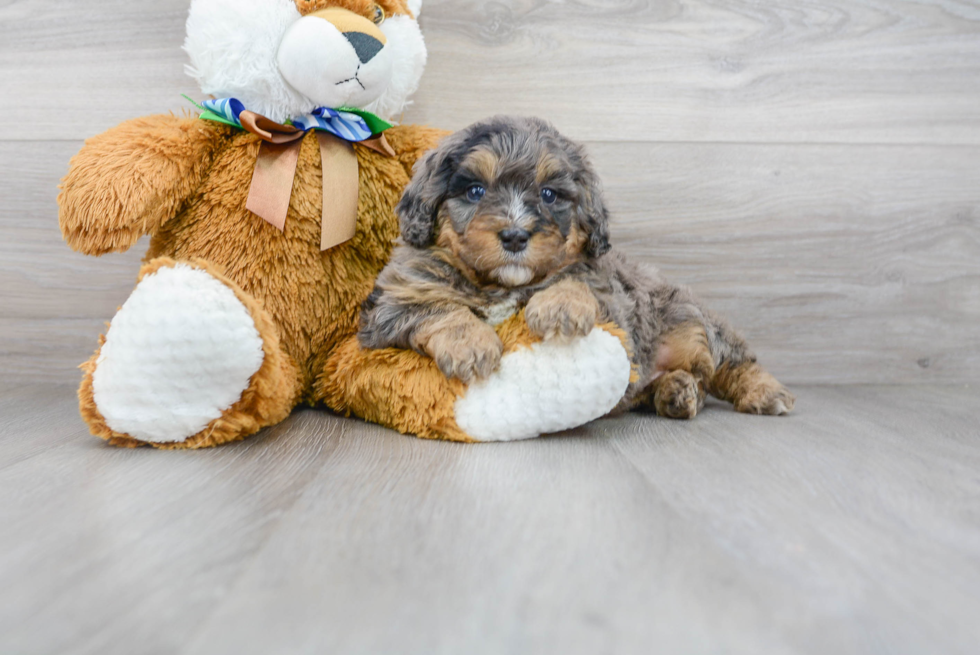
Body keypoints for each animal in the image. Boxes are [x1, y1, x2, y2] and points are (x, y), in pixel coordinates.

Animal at [360, 115, 796, 418]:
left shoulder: (612, 297)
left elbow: (576, 281)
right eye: (475, 191)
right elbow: (438, 308)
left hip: (690, 317)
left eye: (549, 195)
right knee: (695, 383)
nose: (515, 236)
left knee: (732, 362)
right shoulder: (390, 307)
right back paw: (676, 393)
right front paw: (472, 344)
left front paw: (560, 306)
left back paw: (764, 392)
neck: (501, 285)